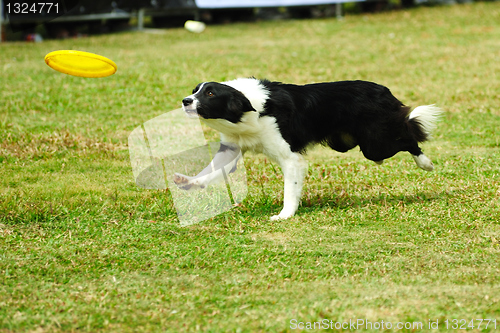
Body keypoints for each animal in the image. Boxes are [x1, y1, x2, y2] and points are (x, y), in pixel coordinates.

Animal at [177, 78, 442, 220]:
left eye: (210, 93)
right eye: (194, 91)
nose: (185, 101)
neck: (247, 107)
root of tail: (384, 90)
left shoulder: (290, 157)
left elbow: (290, 189)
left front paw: (284, 215)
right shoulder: (231, 148)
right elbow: (210, 171)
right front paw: (188, 182)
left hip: (376, 142)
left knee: (409, 134)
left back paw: (426, 163)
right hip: (351, 143)